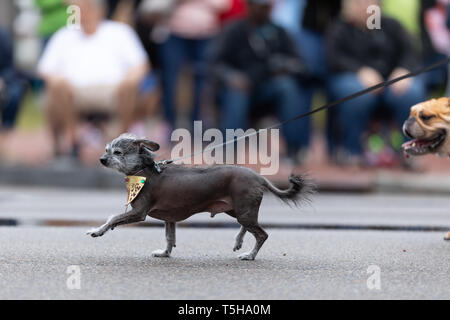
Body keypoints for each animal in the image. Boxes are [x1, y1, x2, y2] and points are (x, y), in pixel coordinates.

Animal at [87, 133, 312, 260]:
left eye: (117, 152)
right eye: (106, 150)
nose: (102, 159)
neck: (144, 171)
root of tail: (259, 176)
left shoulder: (139, 212)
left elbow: (113, 218)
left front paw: (98, 230)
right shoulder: (169, 218)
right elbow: (169, 238)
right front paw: (165, 254)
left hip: (243, 211)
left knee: (261, 234)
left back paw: (250, 255)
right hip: (237, 210)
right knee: (248, 227)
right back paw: (238, 241)